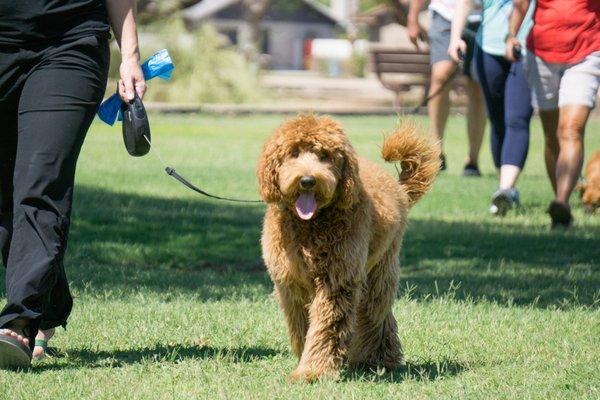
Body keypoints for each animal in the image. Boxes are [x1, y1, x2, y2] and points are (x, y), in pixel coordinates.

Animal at [255, 114, 438, 382]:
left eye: (325, 156)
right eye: (294, 153)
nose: (307, 181)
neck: (311, 224)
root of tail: (399, 190)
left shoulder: (337, 280)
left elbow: (325, 327)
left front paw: (313, 370)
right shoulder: (291, 283)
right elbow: (301, 324)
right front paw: (305, 357)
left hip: (379, 269)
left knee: (375, 315)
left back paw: (375, 358)